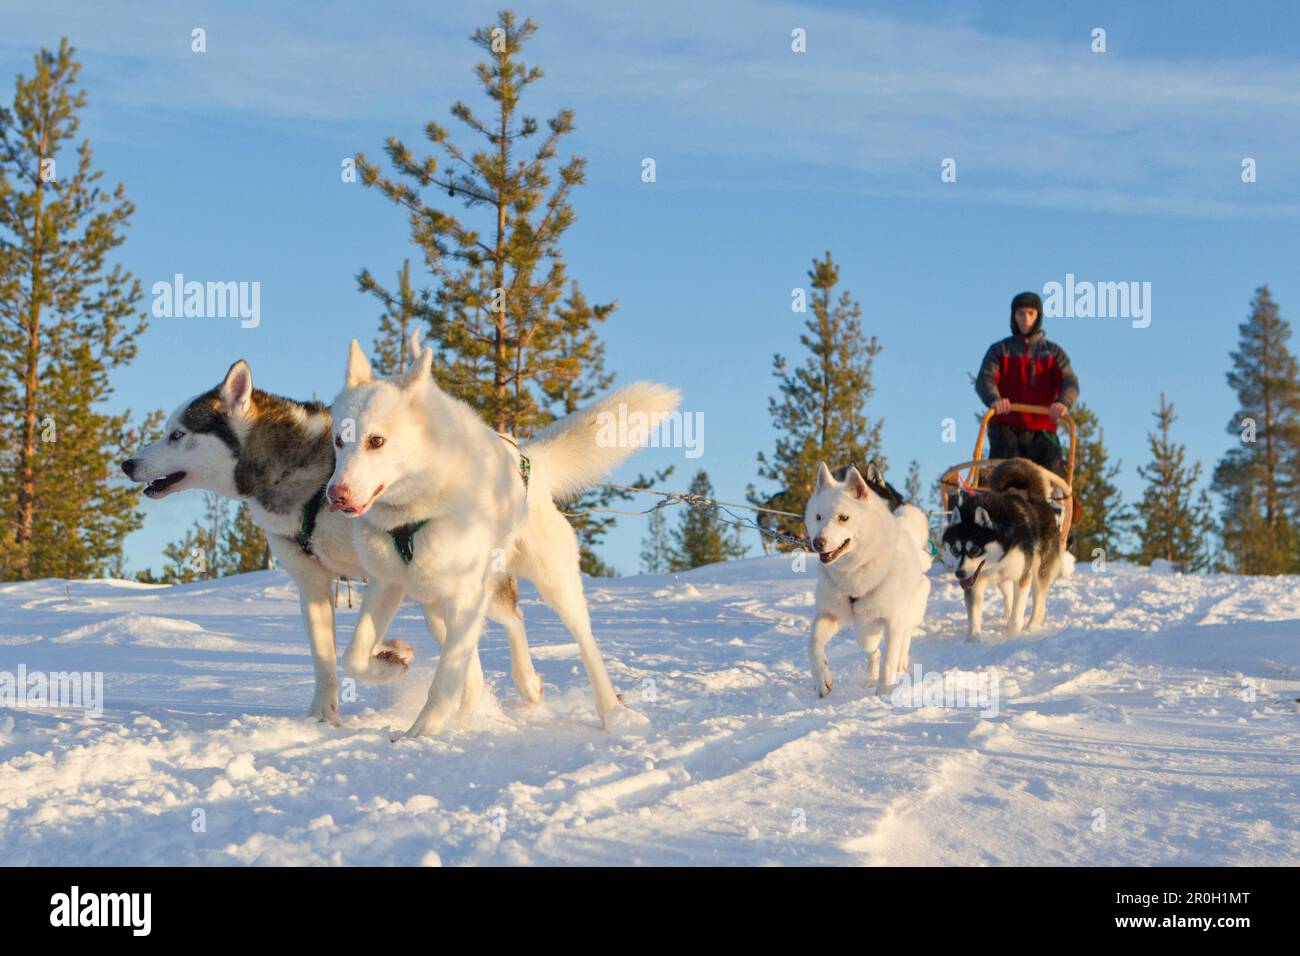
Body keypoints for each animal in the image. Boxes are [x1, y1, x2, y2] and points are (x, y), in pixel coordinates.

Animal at [325, 340, 681, 738]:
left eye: (376, 441)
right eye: (339, 441)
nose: (335, 495)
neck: (415, 511)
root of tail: (530, 461)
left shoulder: (465, 594)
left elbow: (445, 679)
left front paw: (423, 733)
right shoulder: (388, 583)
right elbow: (353, 656)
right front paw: (390, 664)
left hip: (549, 585)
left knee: (582, 642)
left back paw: (611, 712)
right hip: (440, 605)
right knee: (507, 626)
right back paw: (503, 694)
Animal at [806, 463, 930, 697]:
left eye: (843, 518)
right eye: (818, 517)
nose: (817, 543)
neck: (854, 571)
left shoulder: (893, 621)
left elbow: (889, 661)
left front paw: (884, 693)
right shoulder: (828, 614)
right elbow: (813, 644)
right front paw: (822, 679)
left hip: (907, 613)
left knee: (904, 638)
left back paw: (901, 663)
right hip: (865, 632)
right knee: (873, 652)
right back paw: (870, 677)